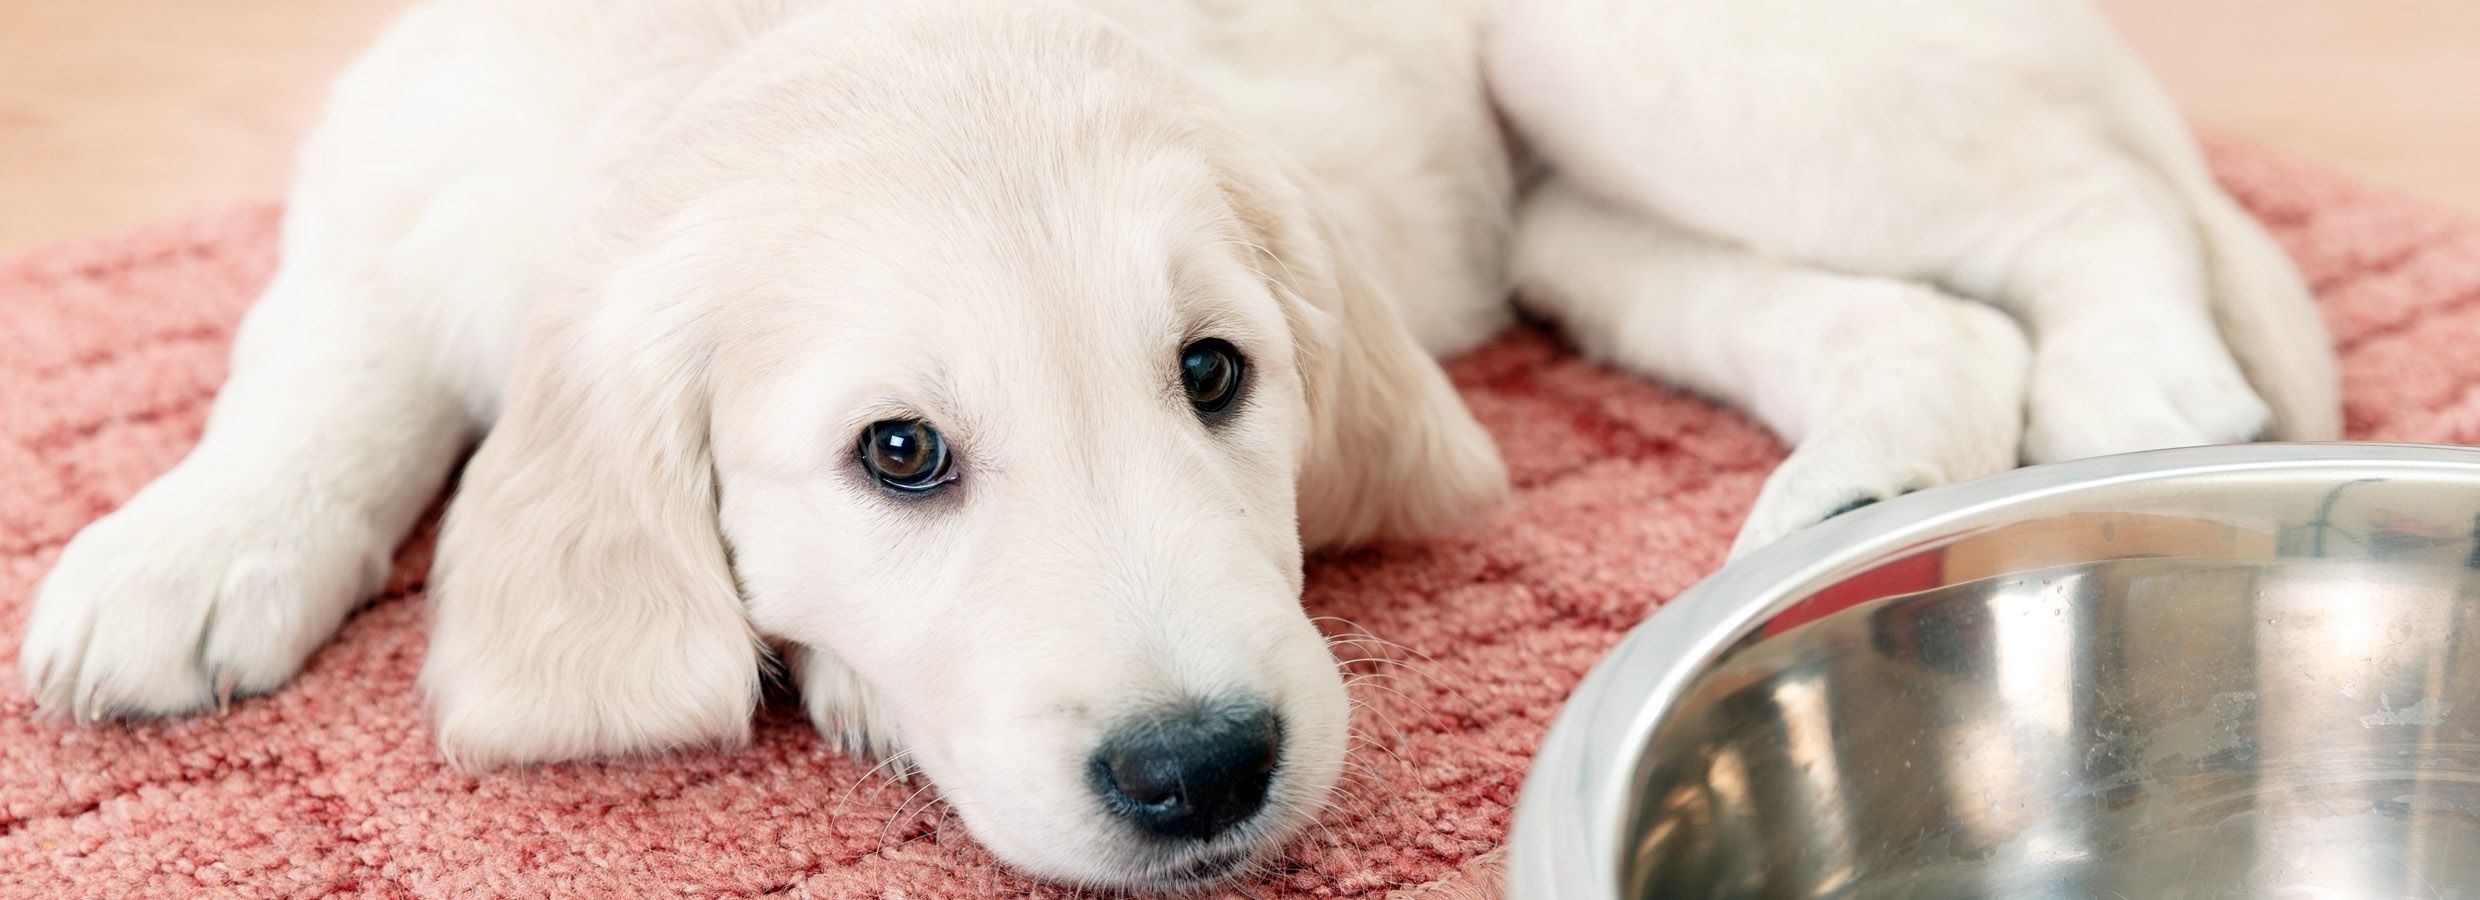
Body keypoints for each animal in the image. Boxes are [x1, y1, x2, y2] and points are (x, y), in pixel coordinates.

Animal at [29, 0, 2331, 892]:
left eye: (1216, 375)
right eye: (897, 453)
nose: (1199, 772)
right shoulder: (403, 162)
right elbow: (319, 358)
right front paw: (179, 550)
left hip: (1669, 68)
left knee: (2074, 205)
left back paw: (2148, 388)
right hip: (1587, 207)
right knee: (1921, 320)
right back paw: (1857, 496)